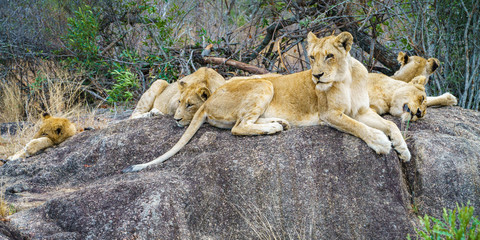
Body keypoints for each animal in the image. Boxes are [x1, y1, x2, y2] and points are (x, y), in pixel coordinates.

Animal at [123, 31, 408, 172]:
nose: (316, 76)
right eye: (312, 57)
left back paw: (280, 123)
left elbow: (391, 125)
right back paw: (273, 127)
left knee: (245, 123)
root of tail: (208, 98)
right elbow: (358, 127)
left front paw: (403, 150)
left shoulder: (361, 110)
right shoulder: (331, 114)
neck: (345, 77)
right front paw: (381, 142)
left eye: (329, 56)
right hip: (264, 83)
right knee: (239, 127)